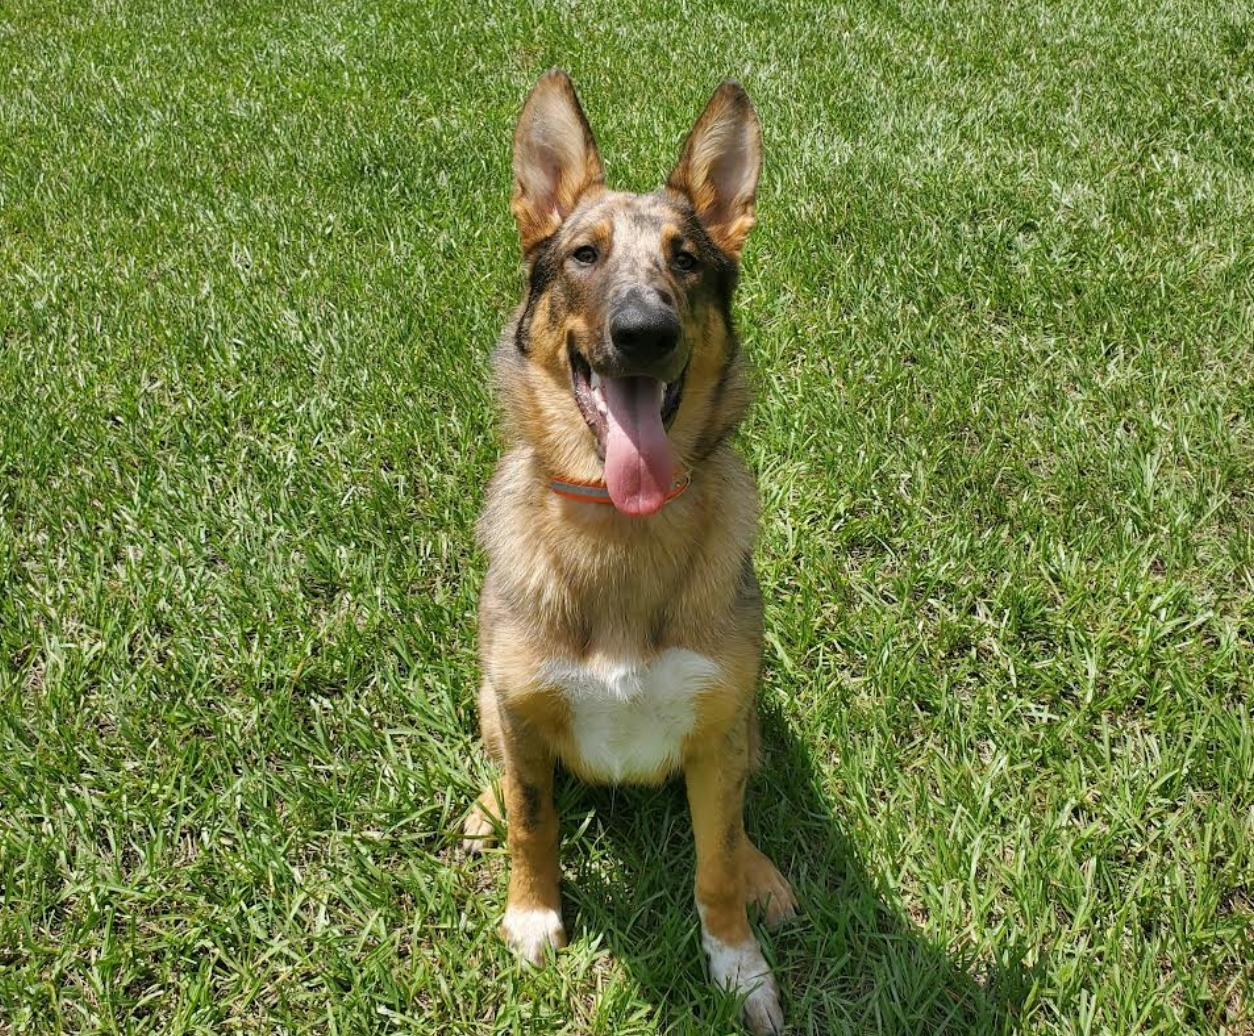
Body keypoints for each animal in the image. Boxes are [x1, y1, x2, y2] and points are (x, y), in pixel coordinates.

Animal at [466, 68, 797, 1028]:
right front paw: (532, 914)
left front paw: (738, 965)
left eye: (687, 259)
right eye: (584, 254)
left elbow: (715, 859)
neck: (621, 531)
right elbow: (535, 819)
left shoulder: (718, 731)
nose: (645, 333)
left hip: (748, 721)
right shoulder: (519, 706)